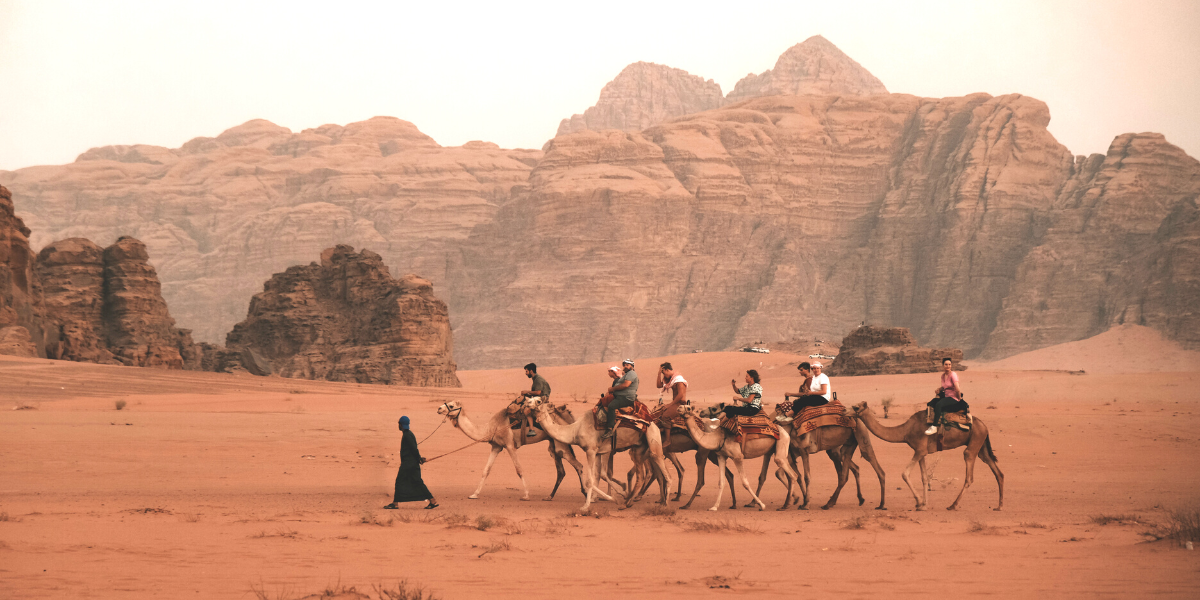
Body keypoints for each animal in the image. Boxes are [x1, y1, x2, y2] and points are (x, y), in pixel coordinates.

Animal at [434, 403, 588, 501]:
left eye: (451, 405)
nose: (439, 408)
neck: (491, 427)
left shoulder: (509, 445)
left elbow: (519, 469)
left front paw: (526, 495)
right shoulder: (496, 446)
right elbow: (486, 470)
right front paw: (474, 494)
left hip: (560, 444)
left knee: (578, 465)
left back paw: (588, 495)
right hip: (553, 444)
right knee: (561, 470)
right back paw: (550, 496)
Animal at [528, 396, 672, 513]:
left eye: (538, 400)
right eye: (530, 399)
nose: (526, 403)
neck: (575, 430)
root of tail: (652, 421)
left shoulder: (591, 450)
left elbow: (590, 480)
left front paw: (586, 506)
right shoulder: (598, 452)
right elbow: (597, 476)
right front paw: (609, 498)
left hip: (653, 439)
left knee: (664, 470)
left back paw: (665, 505)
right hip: (638, 448)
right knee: (640, 475)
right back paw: (626, 503)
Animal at [849, 403, 1008, 511]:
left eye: (855, 407)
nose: (845, 411)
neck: (905, 432)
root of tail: (984, 426)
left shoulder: (919, 450)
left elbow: (905, 474)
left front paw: (919, 502)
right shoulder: (922, 452)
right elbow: (924, 478)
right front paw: (924, 504)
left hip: (974, 444)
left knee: (969, 473)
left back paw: (953, 505)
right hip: (981, 447)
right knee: (997, 471)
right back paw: (999, 506)